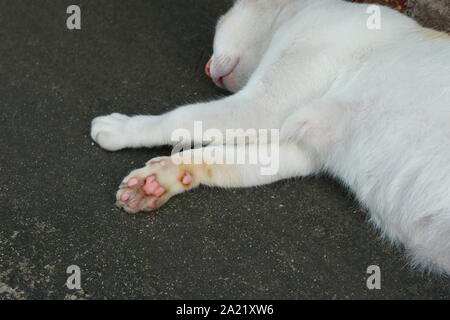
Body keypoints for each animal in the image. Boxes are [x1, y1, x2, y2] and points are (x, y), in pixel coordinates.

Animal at [89, 0, 450, 276]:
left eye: (221, 23)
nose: (206, 69)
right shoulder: (298, 148)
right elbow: (218, 158)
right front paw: (157, 182)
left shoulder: (264, 106)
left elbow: (181, 118)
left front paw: (123, 129)